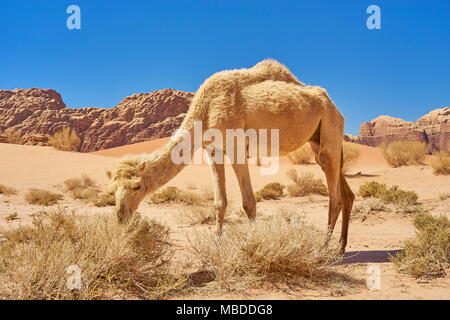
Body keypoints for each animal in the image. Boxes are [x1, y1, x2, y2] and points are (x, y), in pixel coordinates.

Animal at [109, 59, 356, 250]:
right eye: (114, 189)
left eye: (137, 186)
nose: (120, 216)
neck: (205, 110)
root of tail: (335, 107)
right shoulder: (213, 150)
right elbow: (220, 201)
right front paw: (216, 242)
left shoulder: (237, 147)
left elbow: (249, 202)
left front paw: (255, 243)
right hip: (320, 139)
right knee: (345, 192)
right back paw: (341, 247)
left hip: (329, 128)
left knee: (335, 197)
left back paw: (324, 248)